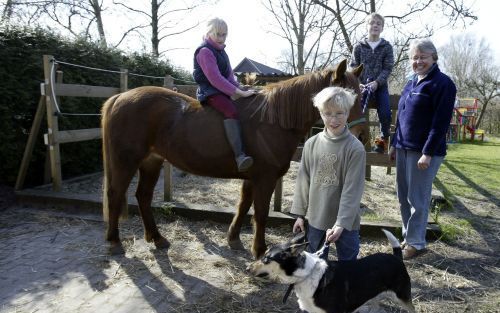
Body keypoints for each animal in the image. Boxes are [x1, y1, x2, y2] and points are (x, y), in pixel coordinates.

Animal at [102, 59, 368, 258]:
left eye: (360, 96)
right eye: (343, 98)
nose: (362, 135)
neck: (273, 120)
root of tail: (119, 98)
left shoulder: (252, 178)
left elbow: (243, 206)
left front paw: (234, 239)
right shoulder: (265, 178)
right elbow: (260, 213)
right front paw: (259, 250)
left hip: (151, 162)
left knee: (143, 197)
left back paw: (157, 238)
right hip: (127, 162)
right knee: (116, 194)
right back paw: (114, 242)